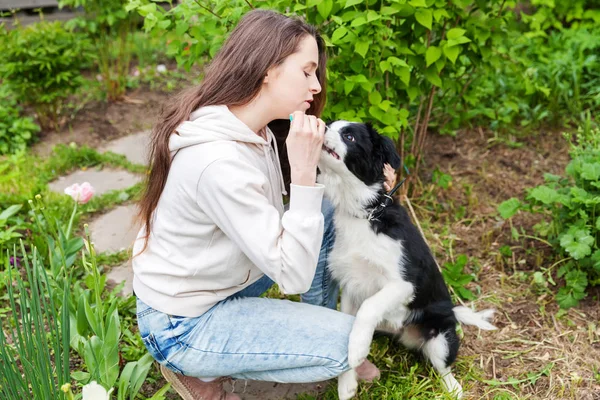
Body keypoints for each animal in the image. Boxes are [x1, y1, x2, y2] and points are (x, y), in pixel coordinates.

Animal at [316, 122, 494, 400]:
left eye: (349, 136)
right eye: (332, 124)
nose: (321, 124)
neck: (365, 215)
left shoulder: (404, 283)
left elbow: (369, 306)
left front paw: (356, 352)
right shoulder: (351, 285)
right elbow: (349, 326)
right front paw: (347, 384)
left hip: (441, 339)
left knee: (444, 368)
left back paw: (453, 389)